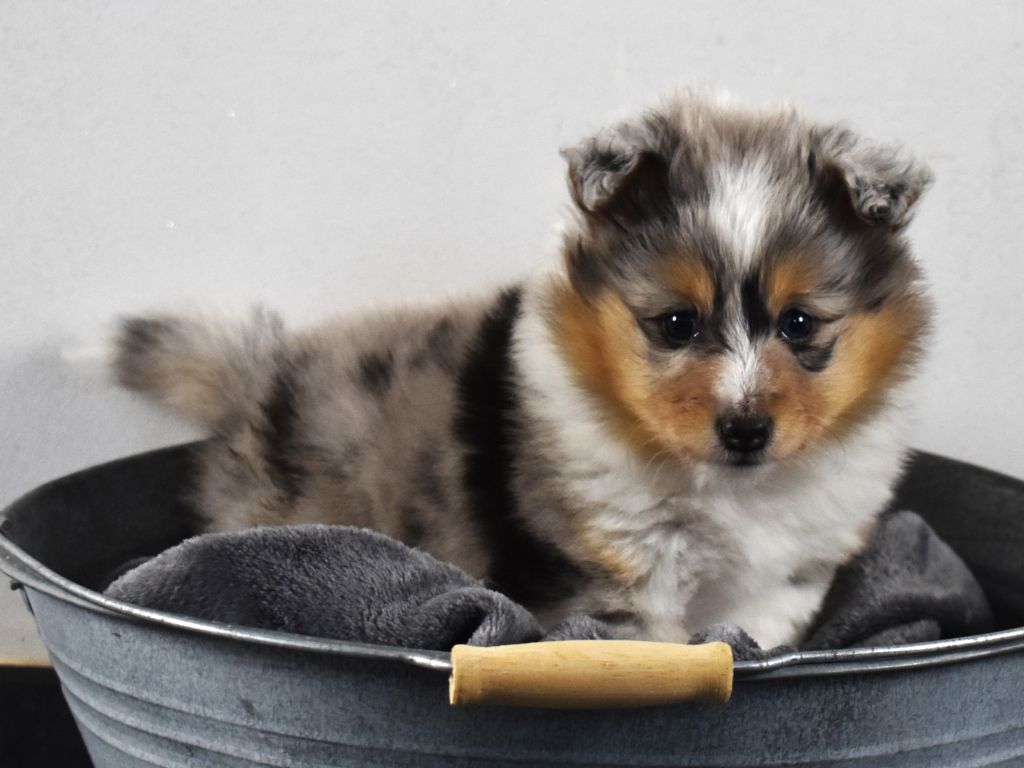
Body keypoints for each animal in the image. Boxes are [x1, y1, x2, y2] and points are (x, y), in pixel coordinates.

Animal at [114, 92, 932, 648]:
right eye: (676, 324)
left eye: (800, 324)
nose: (745, 430)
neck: (729, 492)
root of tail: (259, 373)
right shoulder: (610, 568)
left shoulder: (783, 579)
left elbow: (751, 636)